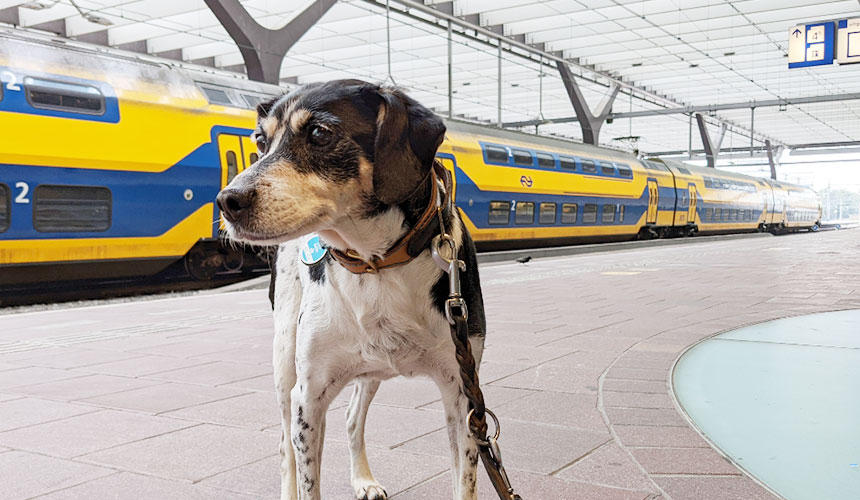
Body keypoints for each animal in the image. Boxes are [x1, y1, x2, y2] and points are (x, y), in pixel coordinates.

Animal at [218, 80, 488, 498]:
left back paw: (363, 479)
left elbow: (465, 482)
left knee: (350, 417)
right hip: (284, 361)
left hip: (370, 370)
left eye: (319, 133)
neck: (375, 263)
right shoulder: (308, 395)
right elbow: (307, 478)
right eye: (261, 141)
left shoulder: (464, 394)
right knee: (284, 445)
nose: (227, 200)